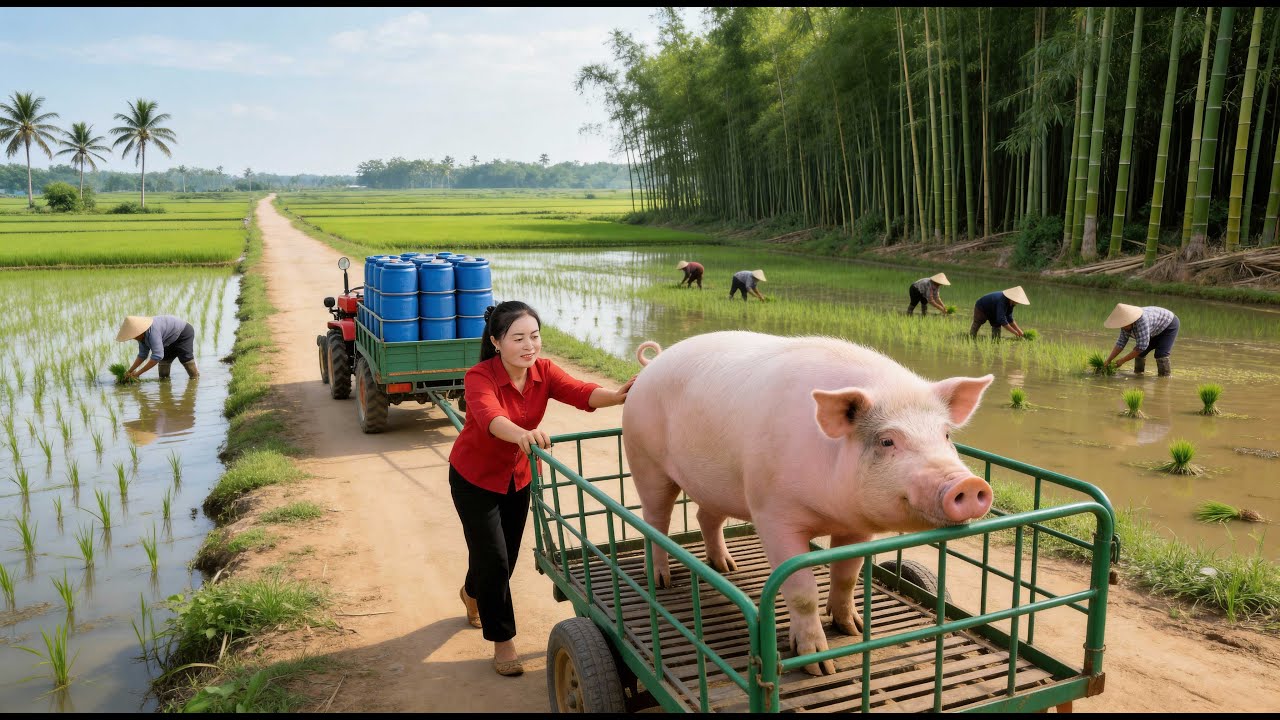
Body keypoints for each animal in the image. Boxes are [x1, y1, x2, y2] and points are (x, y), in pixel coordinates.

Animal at [622, 331, 994, 676]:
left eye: (946, 435)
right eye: (887, 441)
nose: (969, 484)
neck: (829, 512)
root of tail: (652, 364)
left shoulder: (856, 526)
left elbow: (847, 575)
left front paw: (854, 629)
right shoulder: (772, 512)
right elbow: (802, 590)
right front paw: (818, 666)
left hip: (716, 484)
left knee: (706, 517)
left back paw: (727, 568)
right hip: (643, 457)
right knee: (655, 520)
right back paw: (662, 580)